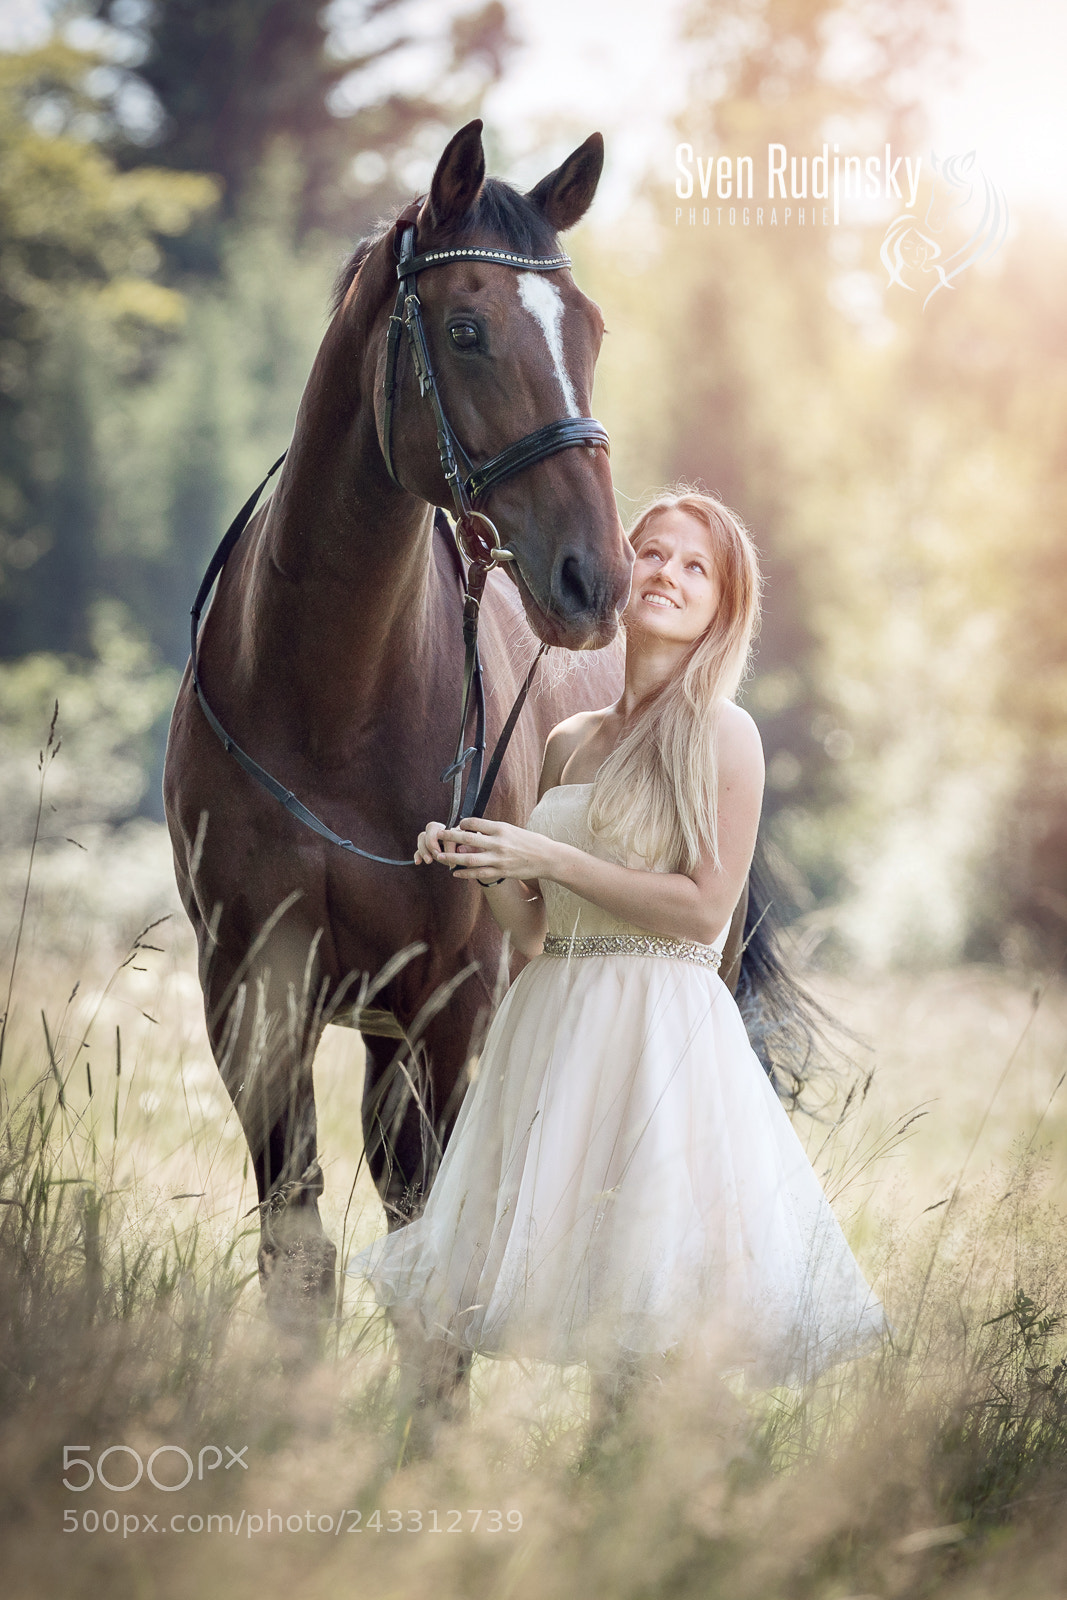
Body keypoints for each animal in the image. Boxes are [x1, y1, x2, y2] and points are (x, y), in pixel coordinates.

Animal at [163, 121, 648, 1345]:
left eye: (591, 329)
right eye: (466, 330)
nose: (597, 579)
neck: (329, 702)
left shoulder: (445, 1005)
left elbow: (433, 1269)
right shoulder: (254, 992)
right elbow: (298, 1256)